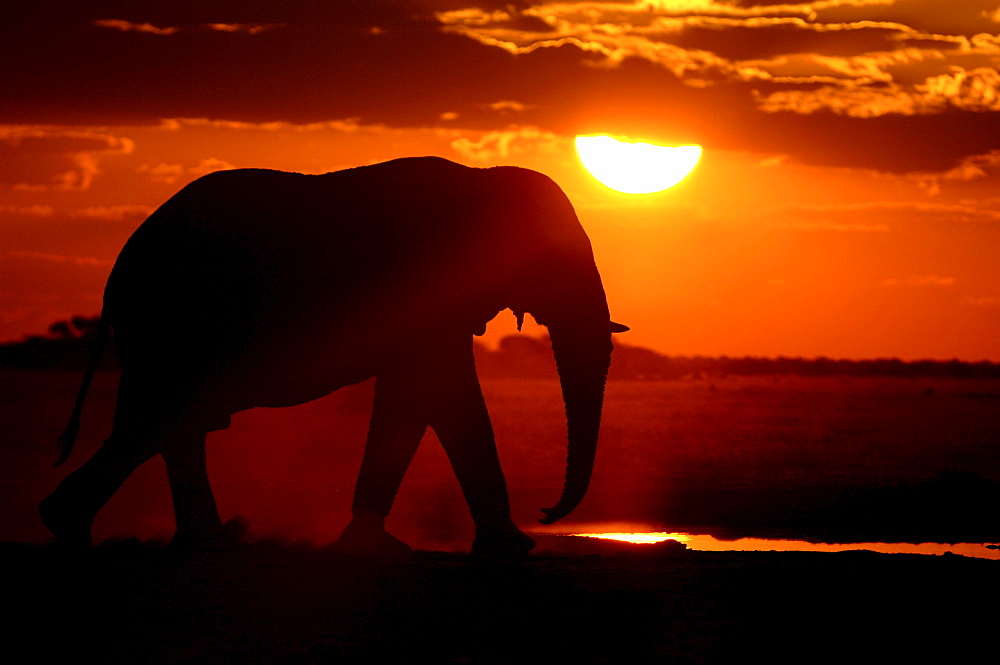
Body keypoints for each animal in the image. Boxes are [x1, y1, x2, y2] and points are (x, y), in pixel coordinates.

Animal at [45, 156, 624, 556]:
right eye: (551, 257)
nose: (546, 512)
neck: (481, 181)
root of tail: (118, 268)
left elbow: (418, 397)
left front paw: (377, 545)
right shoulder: (427, 283)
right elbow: (442, 395)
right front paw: (511, 547)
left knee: (169, 423)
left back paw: (185, 541)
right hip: (173, 321)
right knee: (161, 419)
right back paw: (78, 527)